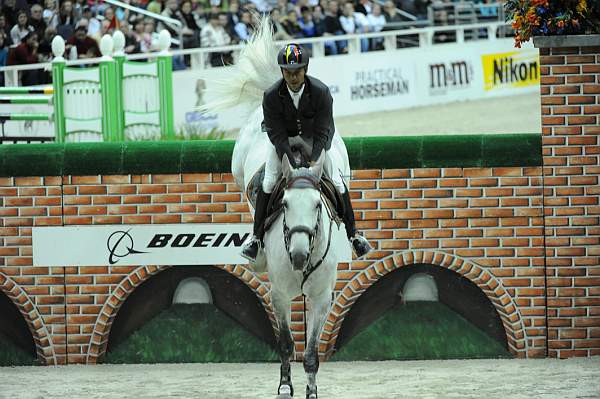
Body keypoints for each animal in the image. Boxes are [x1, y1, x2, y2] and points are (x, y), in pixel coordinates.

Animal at [202, 18, 352, 399]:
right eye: (283, 204)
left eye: (318, 206)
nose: (297, 255)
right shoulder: (280, 296)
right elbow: (285, 343)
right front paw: (286, 385)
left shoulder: (322, 298)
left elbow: (311, 352)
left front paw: (311, 390)